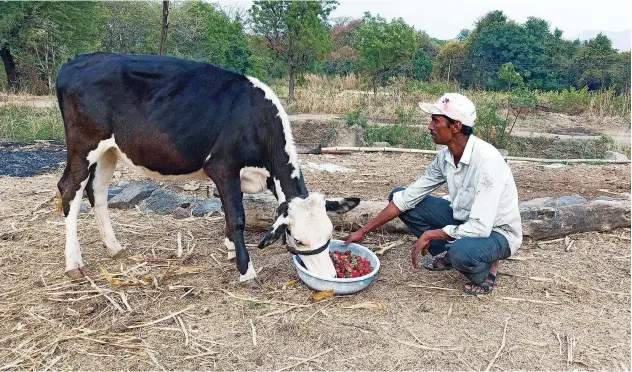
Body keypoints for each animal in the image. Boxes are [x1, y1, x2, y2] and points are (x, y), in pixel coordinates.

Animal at [54, 52, 360, 286]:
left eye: (330, 234)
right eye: (297, 239)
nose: (330, 275)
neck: (254, 118)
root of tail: (76, 60)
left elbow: (229, 211)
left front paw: (230, 248)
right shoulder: (223, 166)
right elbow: (237, 217)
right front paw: (246, 270)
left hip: (110, 150)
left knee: (98, 192)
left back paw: (113, 247)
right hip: (83, 144)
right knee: (69, 189)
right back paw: (74, 262)